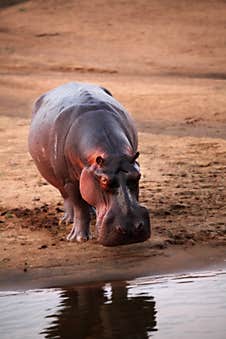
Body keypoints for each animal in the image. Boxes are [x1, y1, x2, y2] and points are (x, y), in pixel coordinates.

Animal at [29, 82, 151, 247]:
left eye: (138, 175)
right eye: (104, 180)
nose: (131, 229)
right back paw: (68, 220)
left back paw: (91, 213)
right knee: (67, 198)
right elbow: (79, 206)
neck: (112, 154)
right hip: (59, 179)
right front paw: (78, 238)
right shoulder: (70, 181)